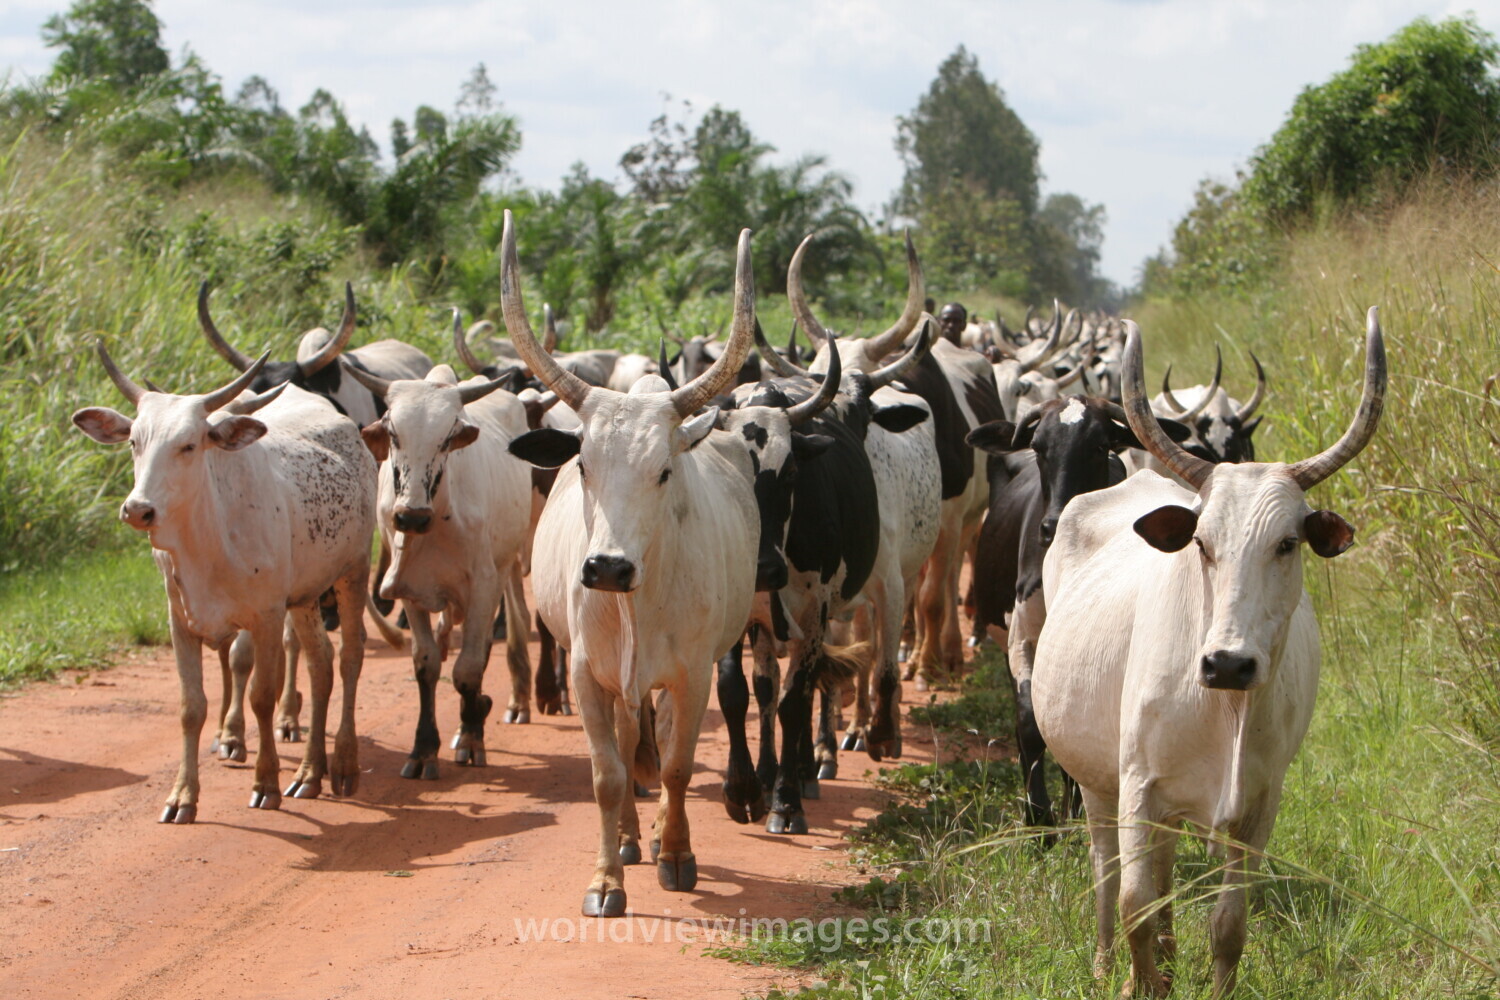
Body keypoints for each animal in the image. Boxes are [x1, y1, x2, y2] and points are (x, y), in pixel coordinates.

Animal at [72, 345, 377, 822]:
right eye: (134, 442)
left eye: (189, 445)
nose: (138, 509)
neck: (207, 538)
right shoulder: (180, 619)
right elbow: (191, 707)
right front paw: (182, 796)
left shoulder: (265, 617)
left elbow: (261, 696)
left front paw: (265, 783)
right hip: (305, 596)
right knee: (321, 665)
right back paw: (310, 772)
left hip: (354, 571)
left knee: (349, 658)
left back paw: (343, 764)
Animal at [341, 319, 534, 780]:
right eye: (393, 433)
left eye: (447, 438)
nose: (410, 516)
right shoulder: (411, 591)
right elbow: (427, 664)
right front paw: (423, 750)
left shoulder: (483, 586)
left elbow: (467, 669)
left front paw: (472, 738)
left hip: (502, 569)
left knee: (481, 652)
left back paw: (473, 721)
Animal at [501, 211, 761, 917]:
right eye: (584, 465)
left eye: (664, 471)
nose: (607, 569)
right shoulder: (586, 673)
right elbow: (607, 772)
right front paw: (605, 880)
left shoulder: (694, 674)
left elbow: (675, 766)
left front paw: (677, 856)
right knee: (625, 741)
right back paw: (624, 838)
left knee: (662, 740)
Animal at [1030, 310, 1385, 996]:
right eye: (1202, 541)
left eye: (1287, 543)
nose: (1228, 664)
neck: (1223, 710)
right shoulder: (1138, 784)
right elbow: (1136, 903)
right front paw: (1136, 982)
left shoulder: (1259, 804)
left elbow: (1227, 926)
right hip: (1095, 781)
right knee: (1108, 870)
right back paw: (1105, 962)